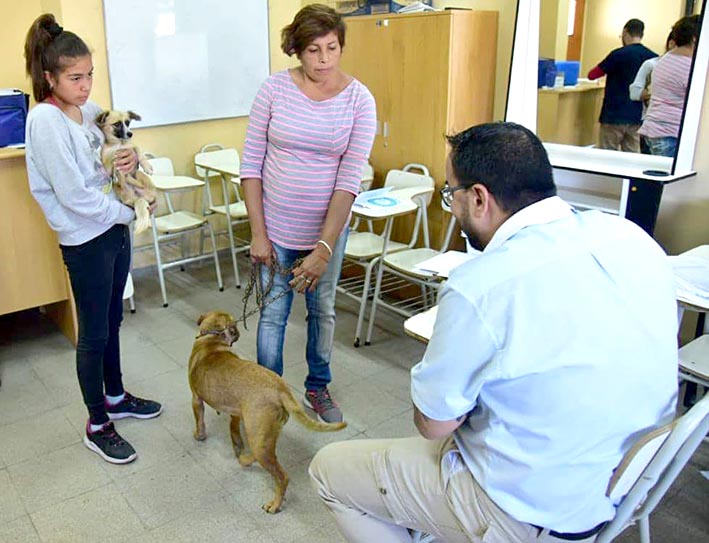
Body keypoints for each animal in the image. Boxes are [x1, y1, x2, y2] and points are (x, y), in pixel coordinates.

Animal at [187, 312, 344, 512]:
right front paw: (236, 442)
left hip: (259, 438)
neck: (212, 341)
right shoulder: (236, 411)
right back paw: (245, 459)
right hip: (262, 436)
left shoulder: (196, 399)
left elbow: (200, 421)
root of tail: (280, 389)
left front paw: (199, 435)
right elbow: (233, 427)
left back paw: (274, 504)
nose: (237, 330)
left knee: (282, 477)